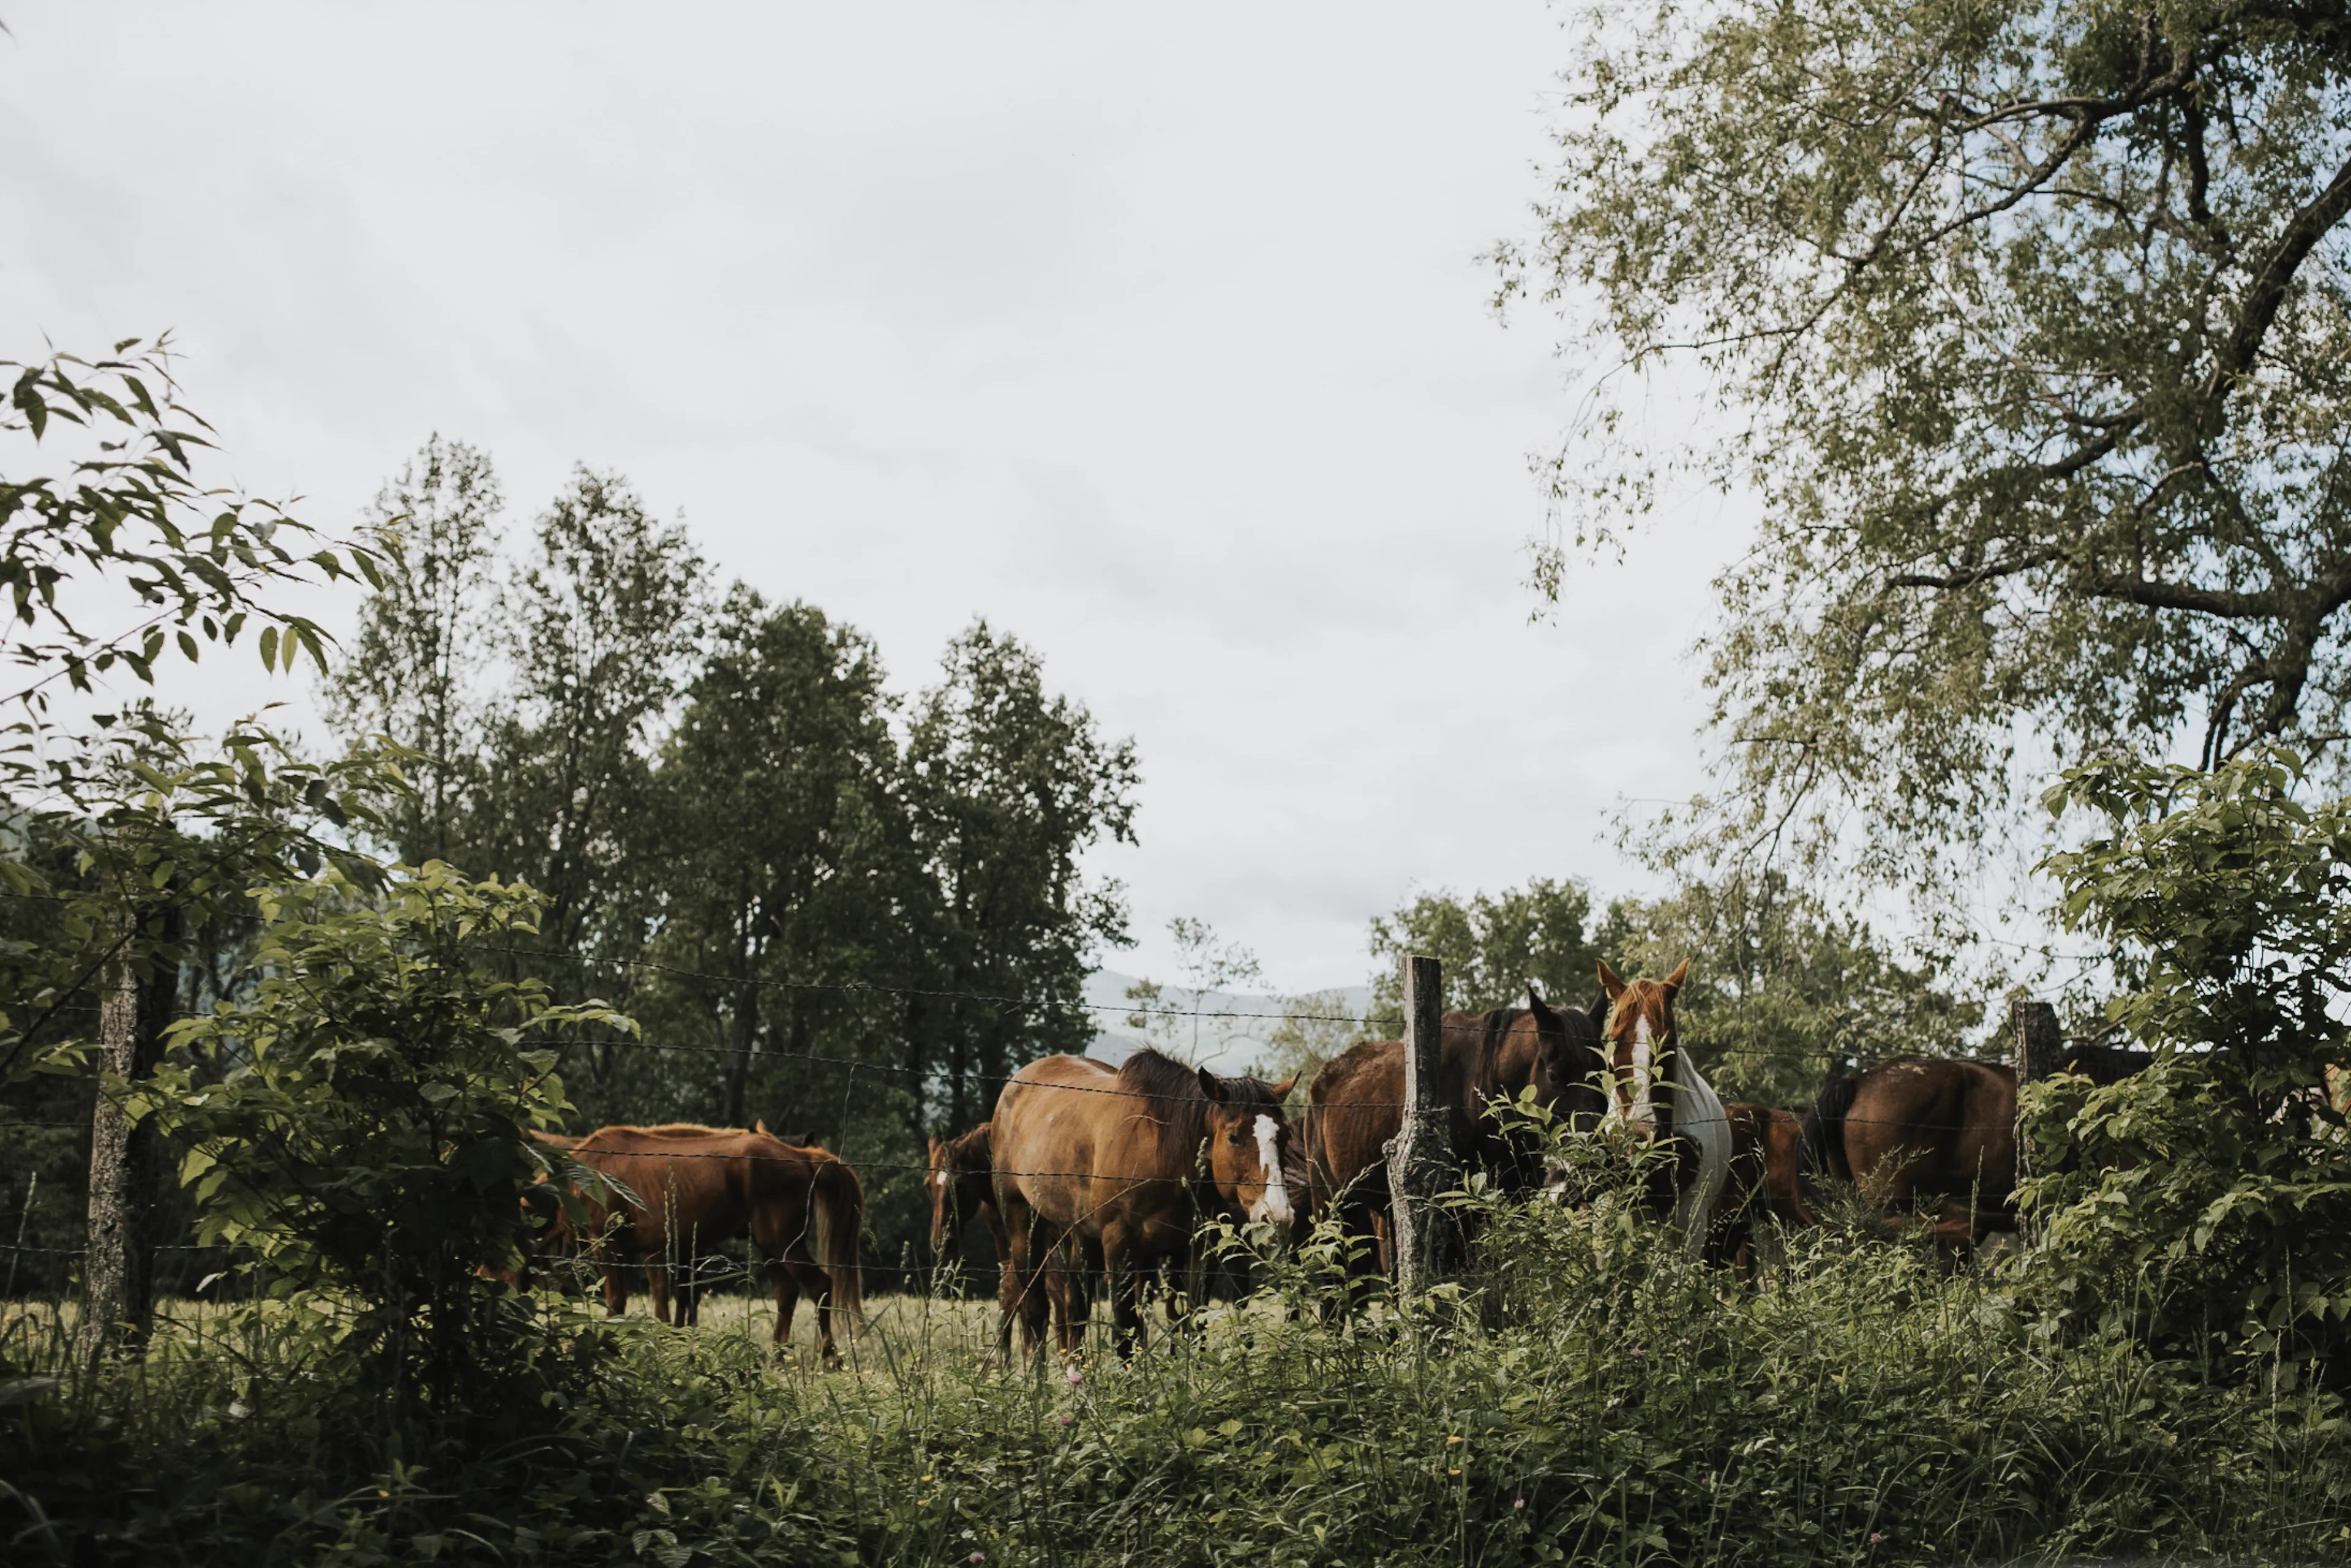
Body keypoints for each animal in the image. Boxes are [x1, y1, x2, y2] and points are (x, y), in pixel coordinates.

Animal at [547, 1122, 866, 1363]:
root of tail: (802, 1157)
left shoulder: (611, 1248)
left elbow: (618, 1304)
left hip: (783, 1244)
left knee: (820, 1285)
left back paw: (829, 1357)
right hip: (769, 1248)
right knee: (787, 1293)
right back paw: (777, 1357)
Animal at [990, 1050, 1297, 1360]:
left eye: (1285, 1136)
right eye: (1234, 1137)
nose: (1278, 1215)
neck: (1162, 1153)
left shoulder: (1196, 1249)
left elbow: (1192, 1325)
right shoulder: (1118, 1244)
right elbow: (1125, 1332)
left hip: (1081, 1235)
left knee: (1075, 1305)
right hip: (1023, 1224)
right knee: (1036, 1311)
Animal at [1303, 987, 1610, 1278]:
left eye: (1603, 1073)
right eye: (1554, 1075)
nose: (1595, 1166)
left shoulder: (1515, 1201)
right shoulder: (1454, 1215)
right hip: (1331, 1207)